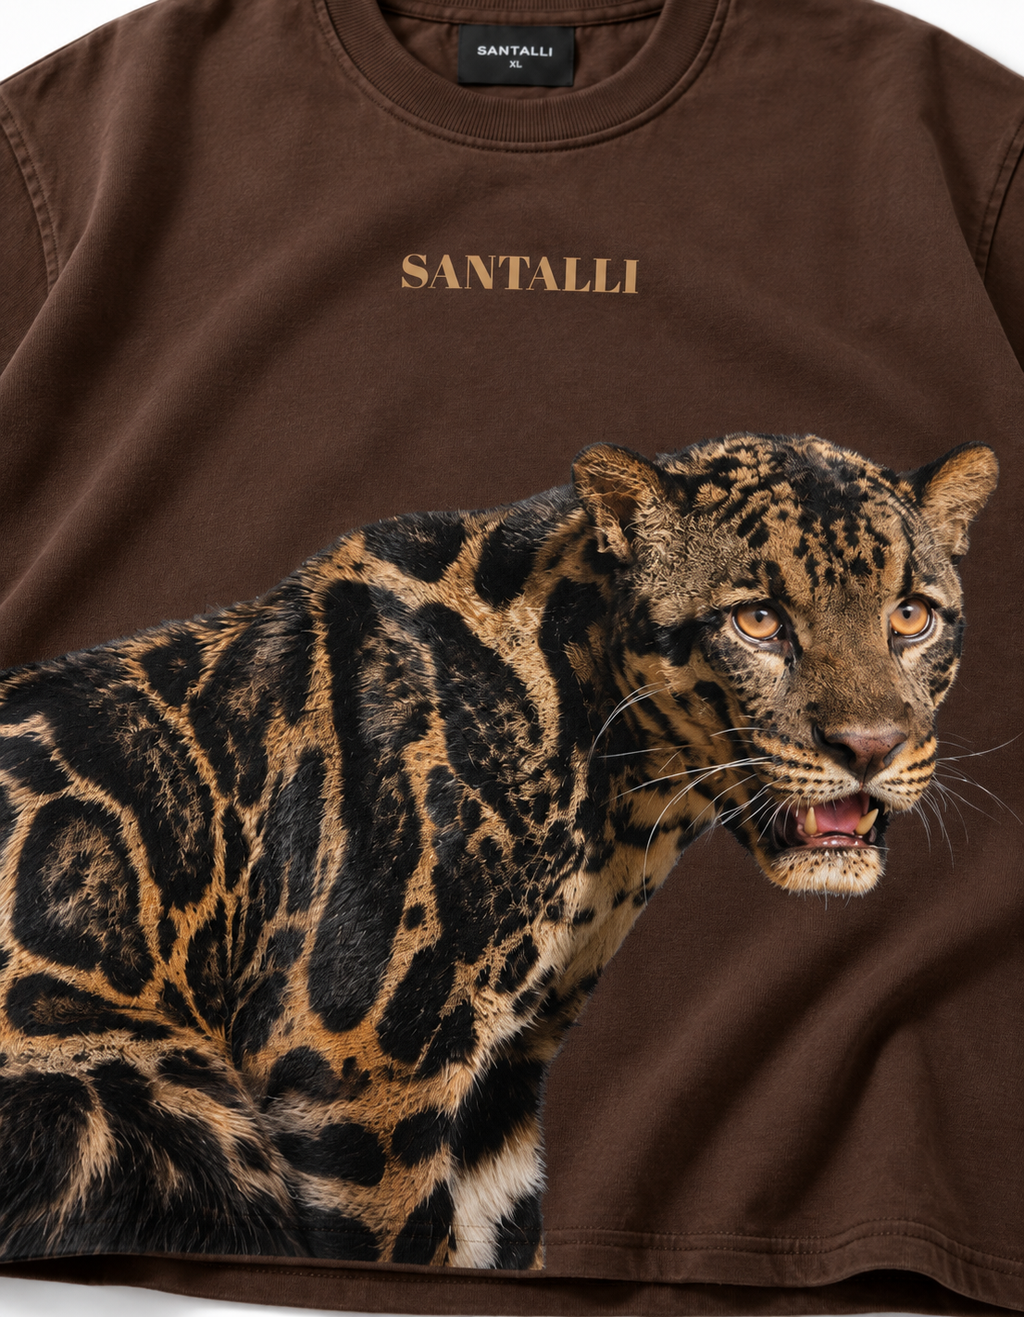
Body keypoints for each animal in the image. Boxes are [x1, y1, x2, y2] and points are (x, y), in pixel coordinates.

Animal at [0, 433, 998, 1271]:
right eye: (756, 620)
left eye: (913, 616)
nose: (869, 747)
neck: (622, 798)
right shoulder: (355, 1073)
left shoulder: (502, 1090)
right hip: (147, 1105)